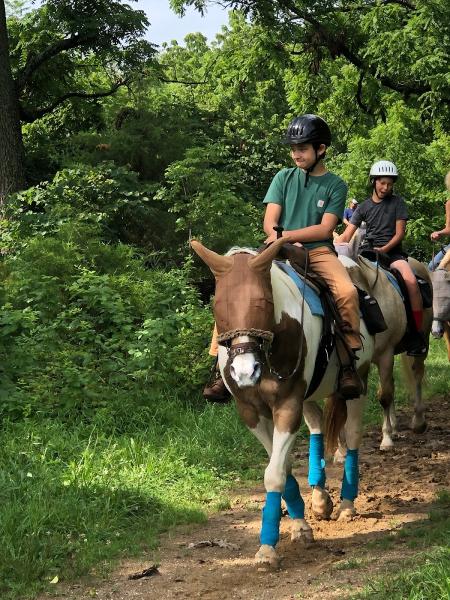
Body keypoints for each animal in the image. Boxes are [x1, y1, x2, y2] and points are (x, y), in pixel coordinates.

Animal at [192, 239, 374, 568]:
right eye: (218, 307)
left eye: (263, 303)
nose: (244, 371)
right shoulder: (251, 412)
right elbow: (283, 466)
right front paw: (300, 525)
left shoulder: (288, 405)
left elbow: (274, 474)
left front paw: (267, 548)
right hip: (309, 397)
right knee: (316, 426)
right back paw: (320, 499)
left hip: (359, 381)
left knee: (353, 435)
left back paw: (346, 504)